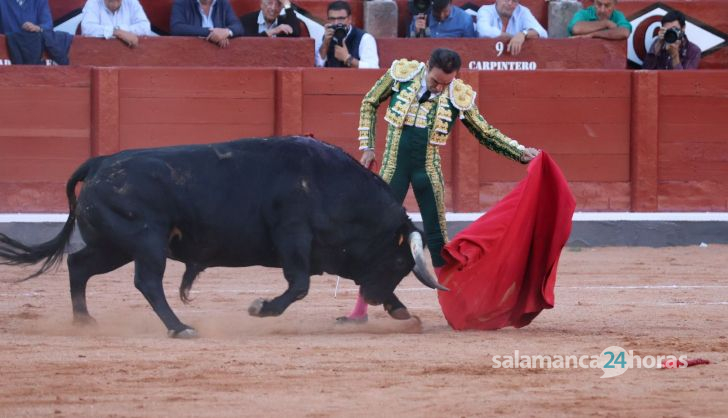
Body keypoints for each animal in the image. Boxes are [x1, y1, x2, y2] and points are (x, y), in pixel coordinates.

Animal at [0, 136, 444, 338]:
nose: (375, 297)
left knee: (79, 264)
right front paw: (261, 309)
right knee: (147, 282)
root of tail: (100, 163)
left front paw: (402, 310)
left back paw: (84, 320)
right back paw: (180, 327)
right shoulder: (293, 237)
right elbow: (299, 285)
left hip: (113, 245)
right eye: (400, 262)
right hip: (145, 240)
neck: (334, 187)